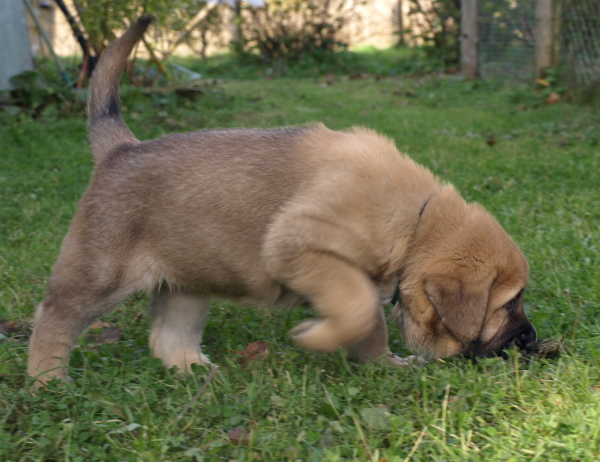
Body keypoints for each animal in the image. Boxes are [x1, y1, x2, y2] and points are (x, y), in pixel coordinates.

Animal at [28, 17, 536, 386]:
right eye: (510, 303)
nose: (531, 342)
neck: (417, 221)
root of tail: (120, 148)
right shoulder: (303, 248)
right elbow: (357, 308)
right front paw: (315, 339)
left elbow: (368, 320)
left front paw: (382, 365)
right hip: (99, 272)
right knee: (53, 317)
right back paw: (47, 382)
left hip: (188, 279)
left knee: (168, 336)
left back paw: (195, 372)